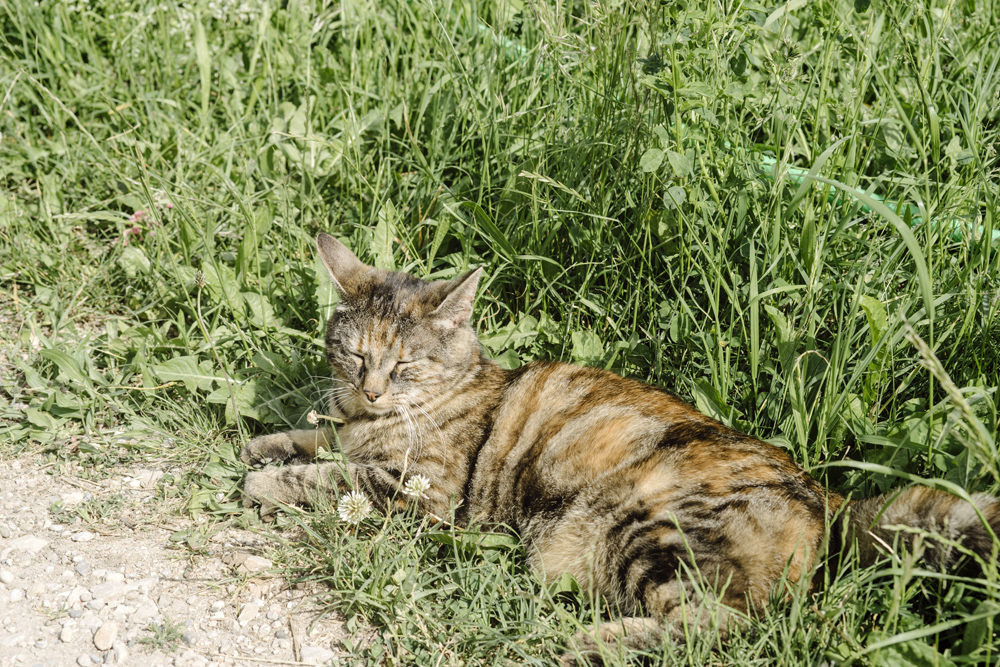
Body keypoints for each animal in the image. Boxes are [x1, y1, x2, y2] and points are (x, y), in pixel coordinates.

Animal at [244, 232, 1000, 664]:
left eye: (402, 366)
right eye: (353, 354)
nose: (372, 390)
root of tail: (827, 495)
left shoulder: (417, 491)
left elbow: (333, 478)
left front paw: (264, 481)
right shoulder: (347, 429)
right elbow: (316, 439)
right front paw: (264, 444)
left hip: (650, 529)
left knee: (717, 628)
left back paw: (590, 641)